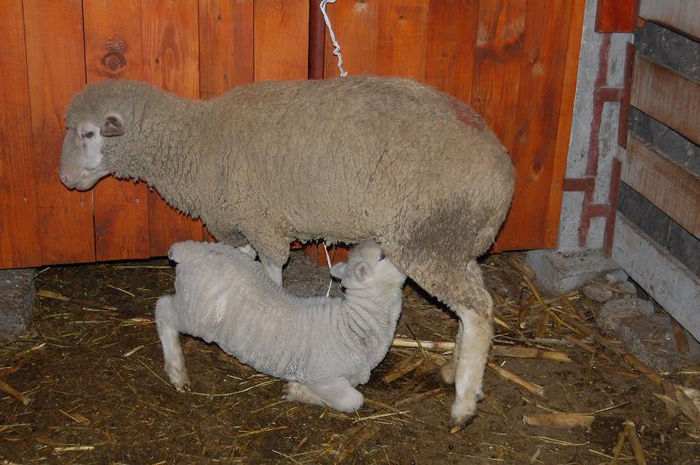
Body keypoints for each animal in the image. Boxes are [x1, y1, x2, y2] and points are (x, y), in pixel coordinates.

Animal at [153, 241, 404, 412]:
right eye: (382, 255)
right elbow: (352, 401)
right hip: (198, 312)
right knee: (163, 309)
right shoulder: (322, 377)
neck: (356, 325)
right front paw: (297, 390)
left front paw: (296, 390)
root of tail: (193, 250)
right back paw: (176, 371)